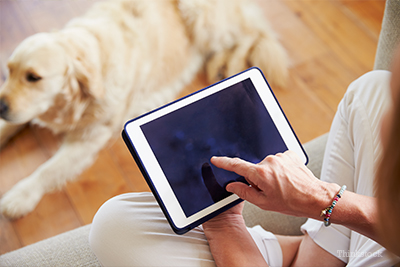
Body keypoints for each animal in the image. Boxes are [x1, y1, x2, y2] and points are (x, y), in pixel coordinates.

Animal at [0, 0, 288, 219]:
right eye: (9, 71)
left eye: (33, 77)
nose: (1, 106)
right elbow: (9, 126)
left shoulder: (90, 138)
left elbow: (48, 170)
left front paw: (19, 197)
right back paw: (220, 66)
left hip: (202, 15)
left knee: (250, 36)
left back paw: (231, 67)